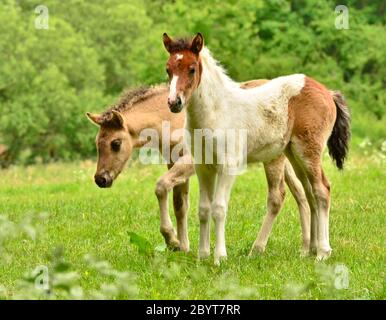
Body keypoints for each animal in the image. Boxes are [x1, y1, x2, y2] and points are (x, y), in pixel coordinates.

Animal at [163, 32, 350, 264]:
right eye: (168, 69)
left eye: (191, 69)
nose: (174, 102)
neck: (215, 112)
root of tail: (327, 92)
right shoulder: (203, 166)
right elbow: (204, 209)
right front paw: (202, 256)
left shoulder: (228, 166)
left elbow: (219, 208)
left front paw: (219, 257)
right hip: (294, 155)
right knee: (310, 193)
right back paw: (310, 250)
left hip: (309, 151)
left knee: (322, 190)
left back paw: (323, 252)